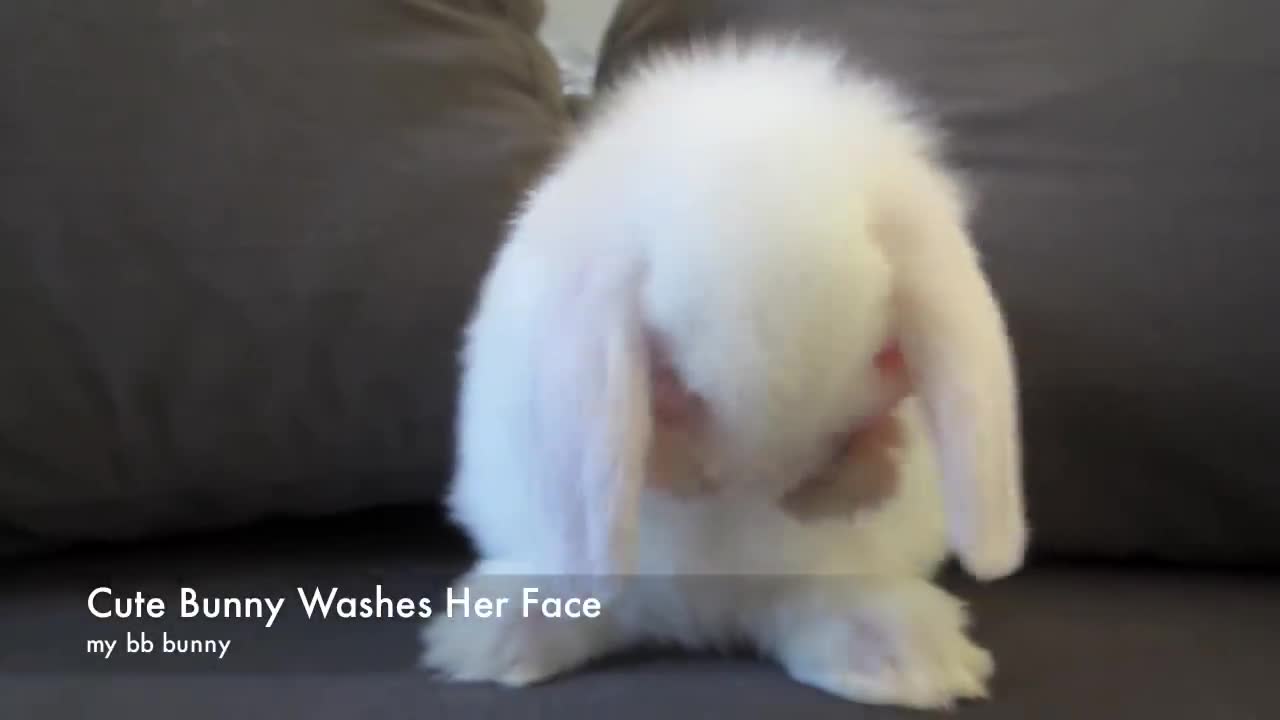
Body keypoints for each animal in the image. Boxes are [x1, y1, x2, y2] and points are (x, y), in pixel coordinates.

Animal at [422, 37, 1029, 707]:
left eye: (879, 358)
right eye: (673, 382)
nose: (785, 483)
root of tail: (710, 614)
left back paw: (902, 660)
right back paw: (498, 640)